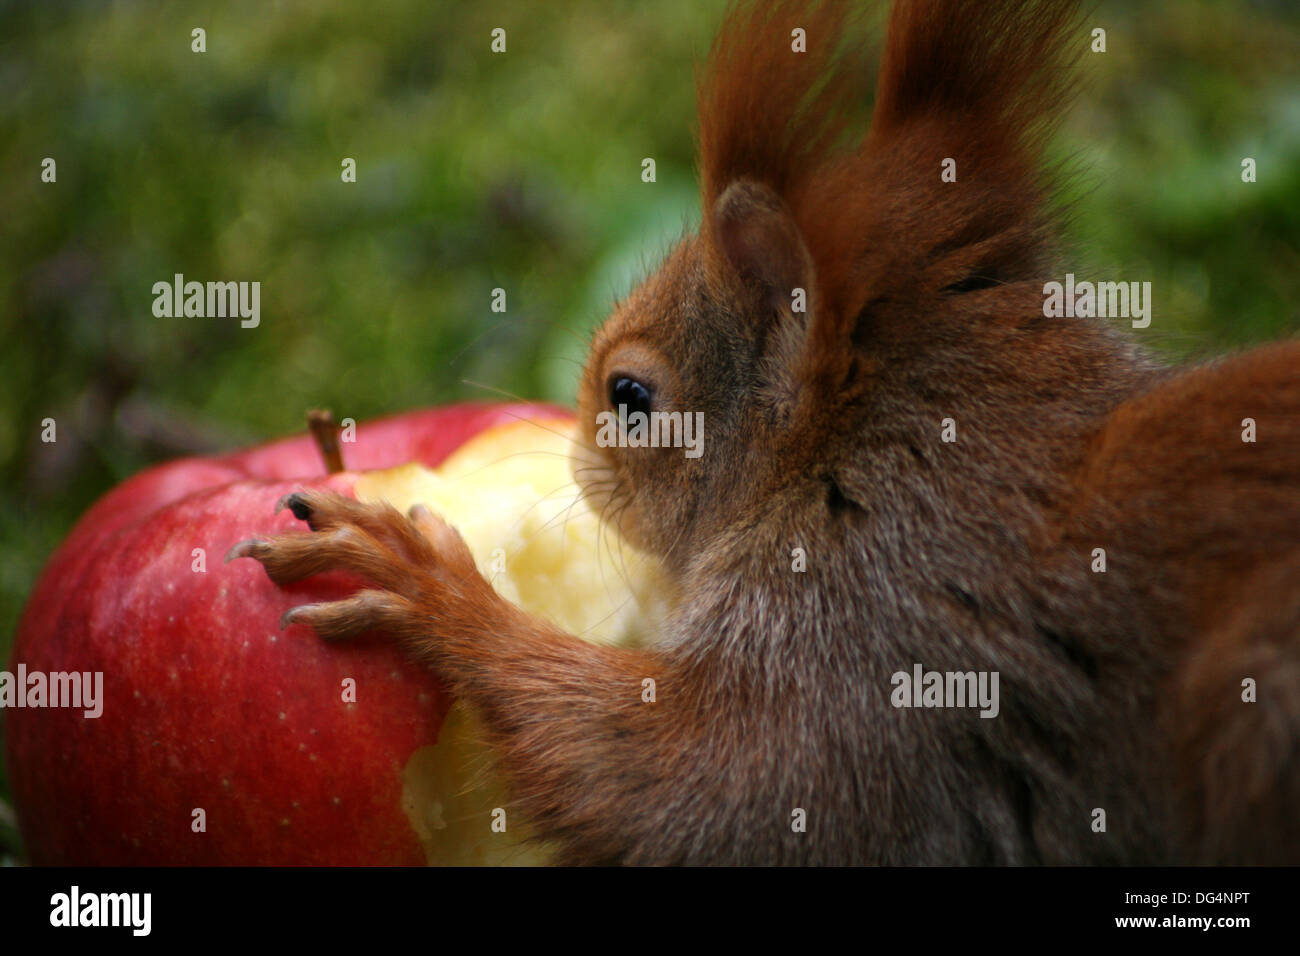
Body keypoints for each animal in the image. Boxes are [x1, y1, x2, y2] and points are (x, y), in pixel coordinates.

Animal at [228, 1, 1300, 868]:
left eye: (629, 394)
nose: (577, 462)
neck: (868, 461)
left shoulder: (868, 645)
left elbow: (692, 791)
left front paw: (424, 583)